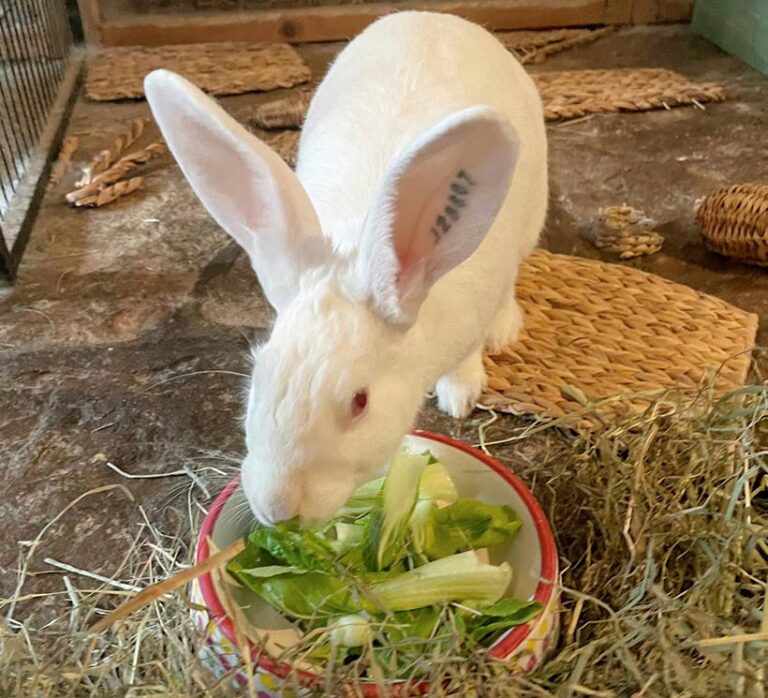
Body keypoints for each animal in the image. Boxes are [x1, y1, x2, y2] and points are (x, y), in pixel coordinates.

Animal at [144, 9, 548, 520]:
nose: (276, 508)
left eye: (360, 402)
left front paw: (459, 395)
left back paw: (504, 330)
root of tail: (434, 15)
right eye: (257, 376)